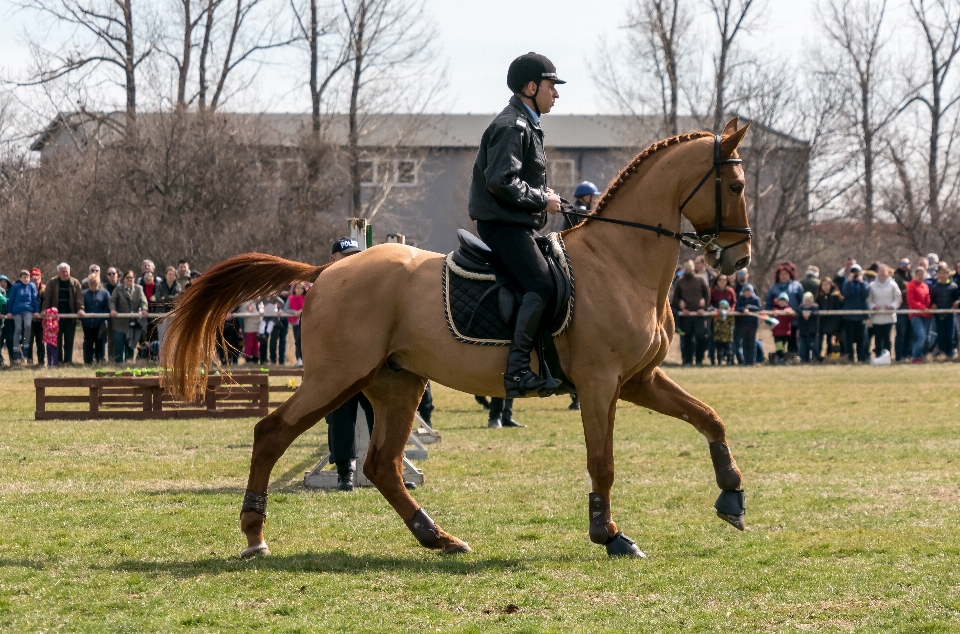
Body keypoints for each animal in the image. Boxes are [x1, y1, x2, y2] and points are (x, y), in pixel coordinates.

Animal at [161, 116, 752, 556]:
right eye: (737, 186)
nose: (740, 260)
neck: (621, 260)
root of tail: (328, 271)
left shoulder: (638, 379)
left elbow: (710, 418)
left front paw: (732, 497)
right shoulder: (601, 383)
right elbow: (602, 461)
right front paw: (609, 535)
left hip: (395, 383)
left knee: (382, 464)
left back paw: (437, 537)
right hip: (336, 377)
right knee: (273, 434)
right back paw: (254, 535)